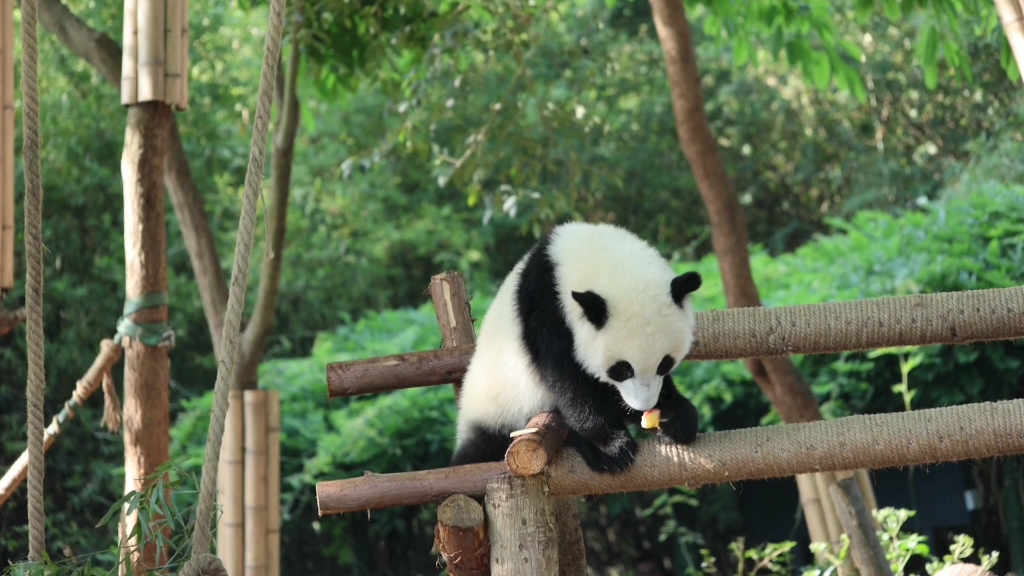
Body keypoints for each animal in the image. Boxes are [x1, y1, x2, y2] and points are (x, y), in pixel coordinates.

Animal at [452, 219, 700, 471]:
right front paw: (612, 446)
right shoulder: (547, 312)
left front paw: (676, 417)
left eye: (664, 364)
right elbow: (570, 382)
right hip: (502, 408)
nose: (644, 405)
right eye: (622, 369)